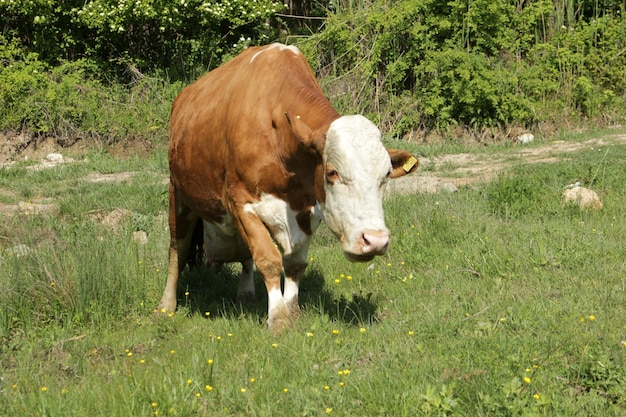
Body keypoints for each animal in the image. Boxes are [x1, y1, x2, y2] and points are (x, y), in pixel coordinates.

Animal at [157, 43, 420, 332]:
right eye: (332, 172)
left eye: (385, 175)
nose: (375, 241)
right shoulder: (240, 201)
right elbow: (268, 258)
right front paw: (278, 318)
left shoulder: (307, 209)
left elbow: (295, 263)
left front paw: (292, 311)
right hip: (178, 194)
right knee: (177, 249)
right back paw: (166, 305)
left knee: (244, 256)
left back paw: (246, 294)